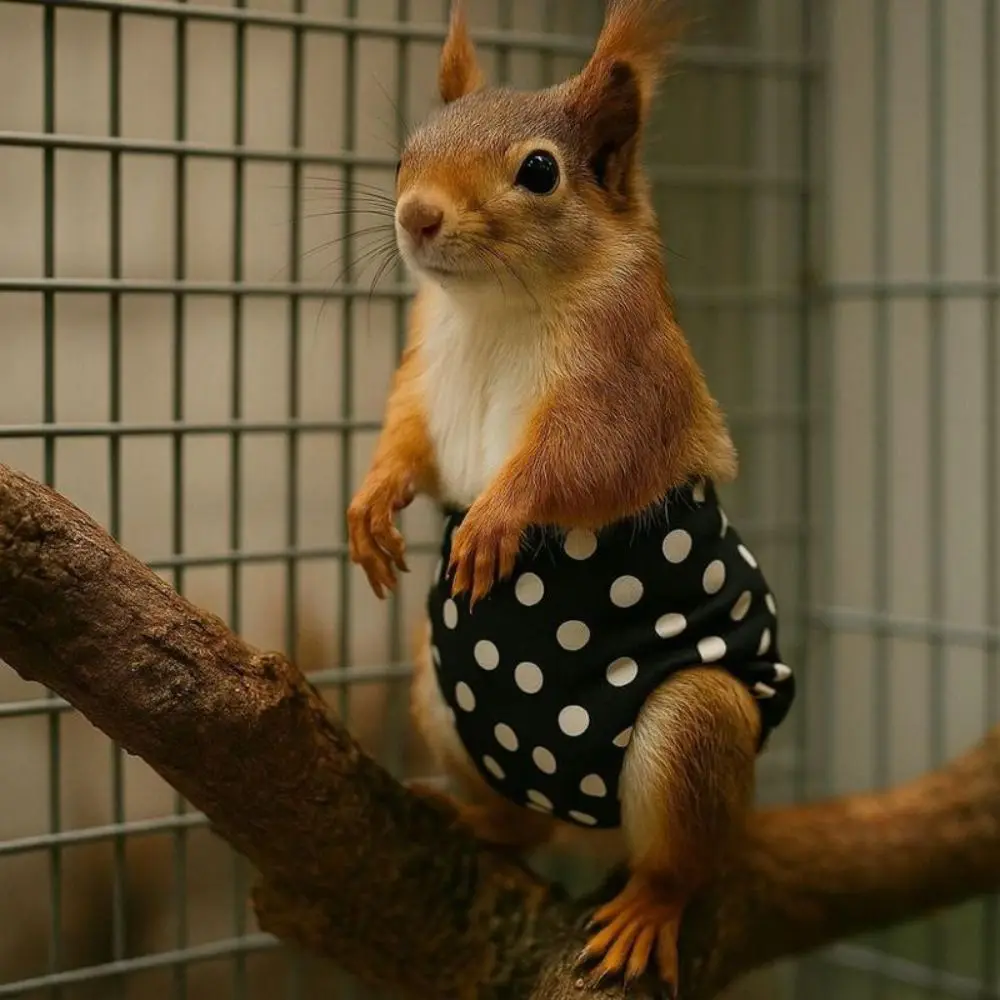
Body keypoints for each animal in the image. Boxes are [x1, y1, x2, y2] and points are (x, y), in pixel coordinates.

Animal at [347, 0, 796, 991]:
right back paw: (476, 819)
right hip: (440, 697)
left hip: (697, 726)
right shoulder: (425, 366)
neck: (493, 307)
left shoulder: (626, 381)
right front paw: (370, 504)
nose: (416, 216)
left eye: (540, 172)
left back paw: (646, 910)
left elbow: (578, 463)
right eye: (406, 153)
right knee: (521, 821)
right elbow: (409, 441)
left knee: (679, 863)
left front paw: (495, 520)